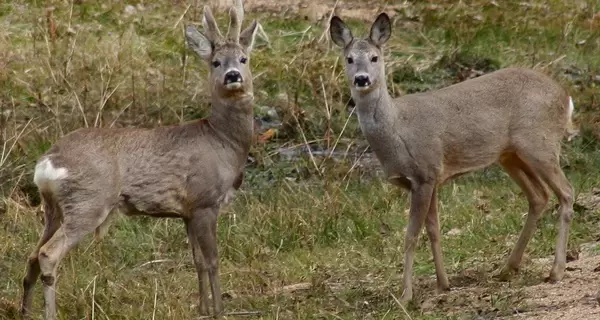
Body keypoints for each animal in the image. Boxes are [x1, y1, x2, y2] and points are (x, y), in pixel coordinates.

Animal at [20, 0, 260, 318]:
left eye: (244, 59)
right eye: (216, 62)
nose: (233, 75)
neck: (222, 141)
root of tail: (47, 163)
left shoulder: (187, 211)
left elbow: (196, 260)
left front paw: (202, 308)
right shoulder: (205, 200)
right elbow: (212, 260)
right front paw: (219, 311)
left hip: (53, 207)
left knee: (33, 254)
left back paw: (24, 311)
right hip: (88, 201)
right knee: (48, 254)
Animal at [330, 12, 580, 302]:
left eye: (374, 57)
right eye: (349, 59)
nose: (361, 79)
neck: (397, 130)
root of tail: (566, 97)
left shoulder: (425, 173)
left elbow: (411, 235)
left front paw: (406, 295)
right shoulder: (429, 180)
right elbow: (433, 230)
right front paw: (443, 283)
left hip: (540, 144)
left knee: (566, 191)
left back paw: (555, 271)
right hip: (510, 155)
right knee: (539, 196)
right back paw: (507, 269)